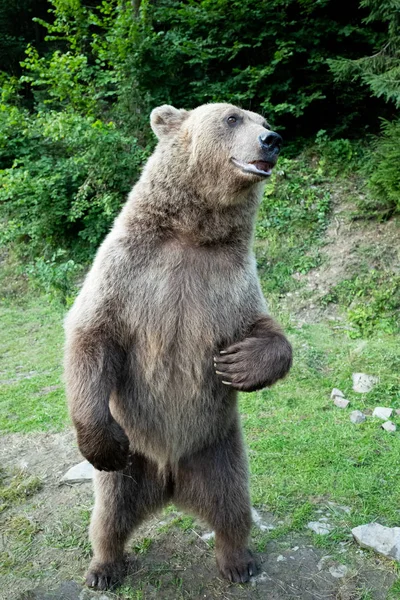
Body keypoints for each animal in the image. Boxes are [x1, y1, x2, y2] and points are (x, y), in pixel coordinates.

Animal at [64, 103, 292, 592]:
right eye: (232, 118)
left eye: (263, 120)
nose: (272, 139)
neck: (192, 231)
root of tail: (170, 479)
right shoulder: (128, 268)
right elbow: (92, 334)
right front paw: (99, 440)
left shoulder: (229, 284)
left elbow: (266, 329)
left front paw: (239, 363)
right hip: (133, 460)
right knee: (109, 513)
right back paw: (103, 568)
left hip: (218, 448)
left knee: (232, 505)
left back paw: (238, 561)